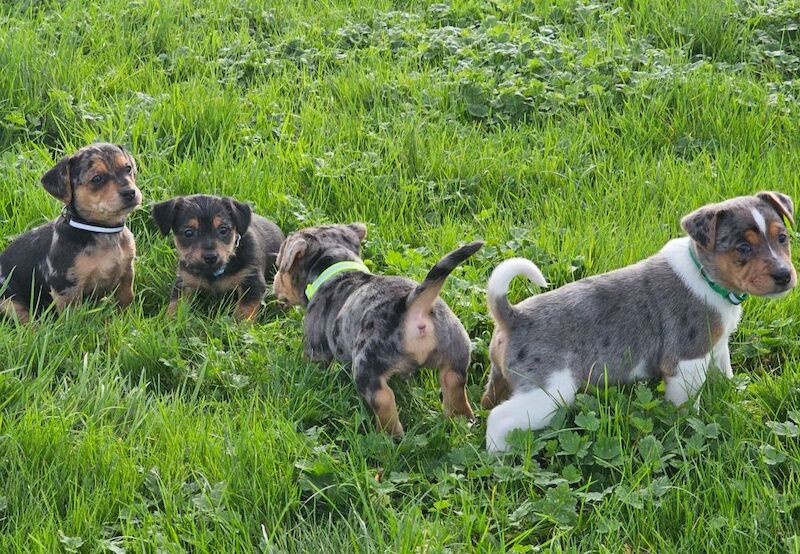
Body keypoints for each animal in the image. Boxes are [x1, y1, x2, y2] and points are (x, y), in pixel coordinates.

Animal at [0, 142, 142, 322]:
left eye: (128, 168)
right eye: (97, 178)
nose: (130, 192)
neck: (102, 230)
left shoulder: (127, 272)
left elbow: (126, 298)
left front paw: (125, 319)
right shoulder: (67, 286)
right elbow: (74, 319)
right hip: (8, 303)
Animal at [152, 194, 286, 320]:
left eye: (223, 230)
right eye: (188, 232)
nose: (210, 257)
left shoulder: (252, 281)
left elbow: (245, 309)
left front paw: (238, 325)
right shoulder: (185, 282)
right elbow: (175, 305)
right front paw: (169, 322)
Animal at [272, 222, 484, 434]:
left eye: (280, 266)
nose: (274, 281)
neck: (337, 269)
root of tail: (413, 305)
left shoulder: (315, 347)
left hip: (366, 366)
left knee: (383, 400)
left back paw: (387, 435)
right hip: (455, 353)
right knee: (455, 388)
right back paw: (462, 424)